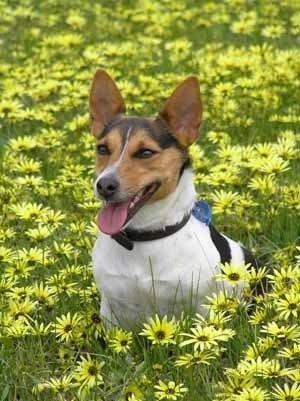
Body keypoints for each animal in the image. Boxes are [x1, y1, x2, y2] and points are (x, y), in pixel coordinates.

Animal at [89, 69, 260, 326]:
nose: (104, 185)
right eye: (102, 149)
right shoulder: (111, 311)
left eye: (145, 152)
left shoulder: (202, 309)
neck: (145, 237)